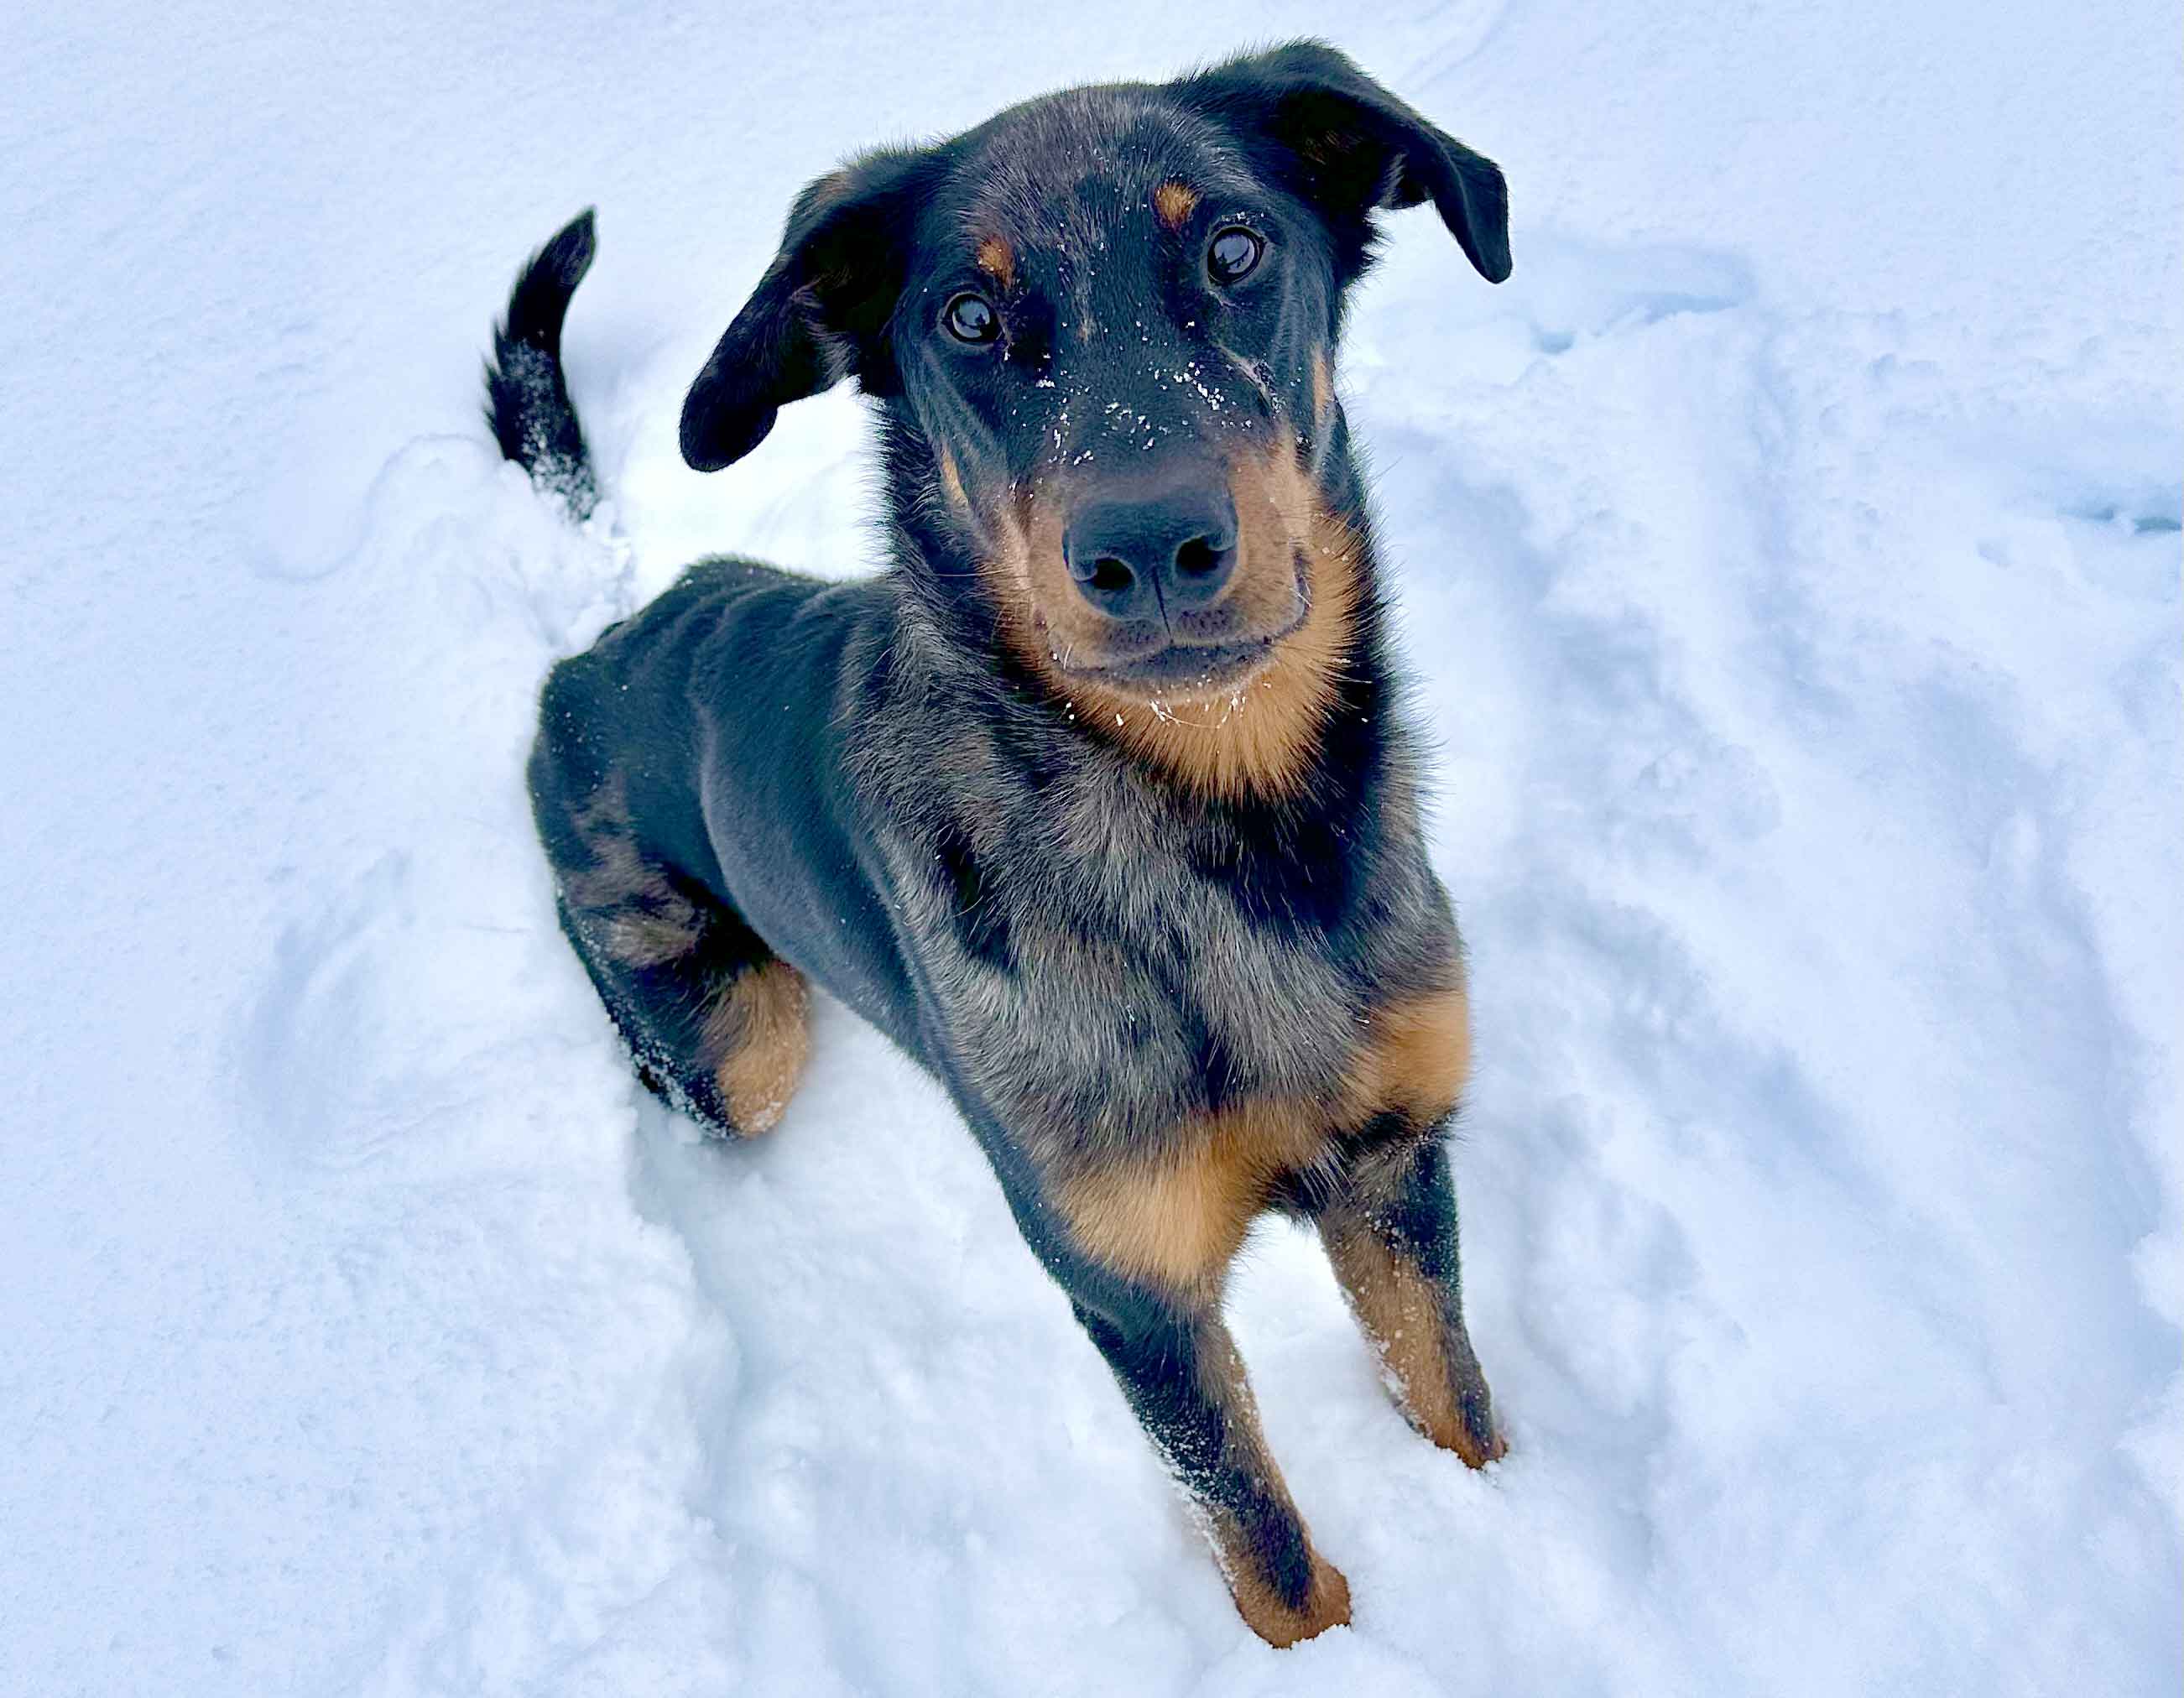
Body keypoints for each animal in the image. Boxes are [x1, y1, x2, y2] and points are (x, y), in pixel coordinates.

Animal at [491, 43, 1519, 1641]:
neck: (1219, 831)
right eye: (966, 319)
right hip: (730, 1048)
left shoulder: (1394, 1159)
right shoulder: (1134, 1295)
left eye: (1235, 249)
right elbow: (1266, 1544)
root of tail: (596, 646)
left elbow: (1453, 1399)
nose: (1149, 548)